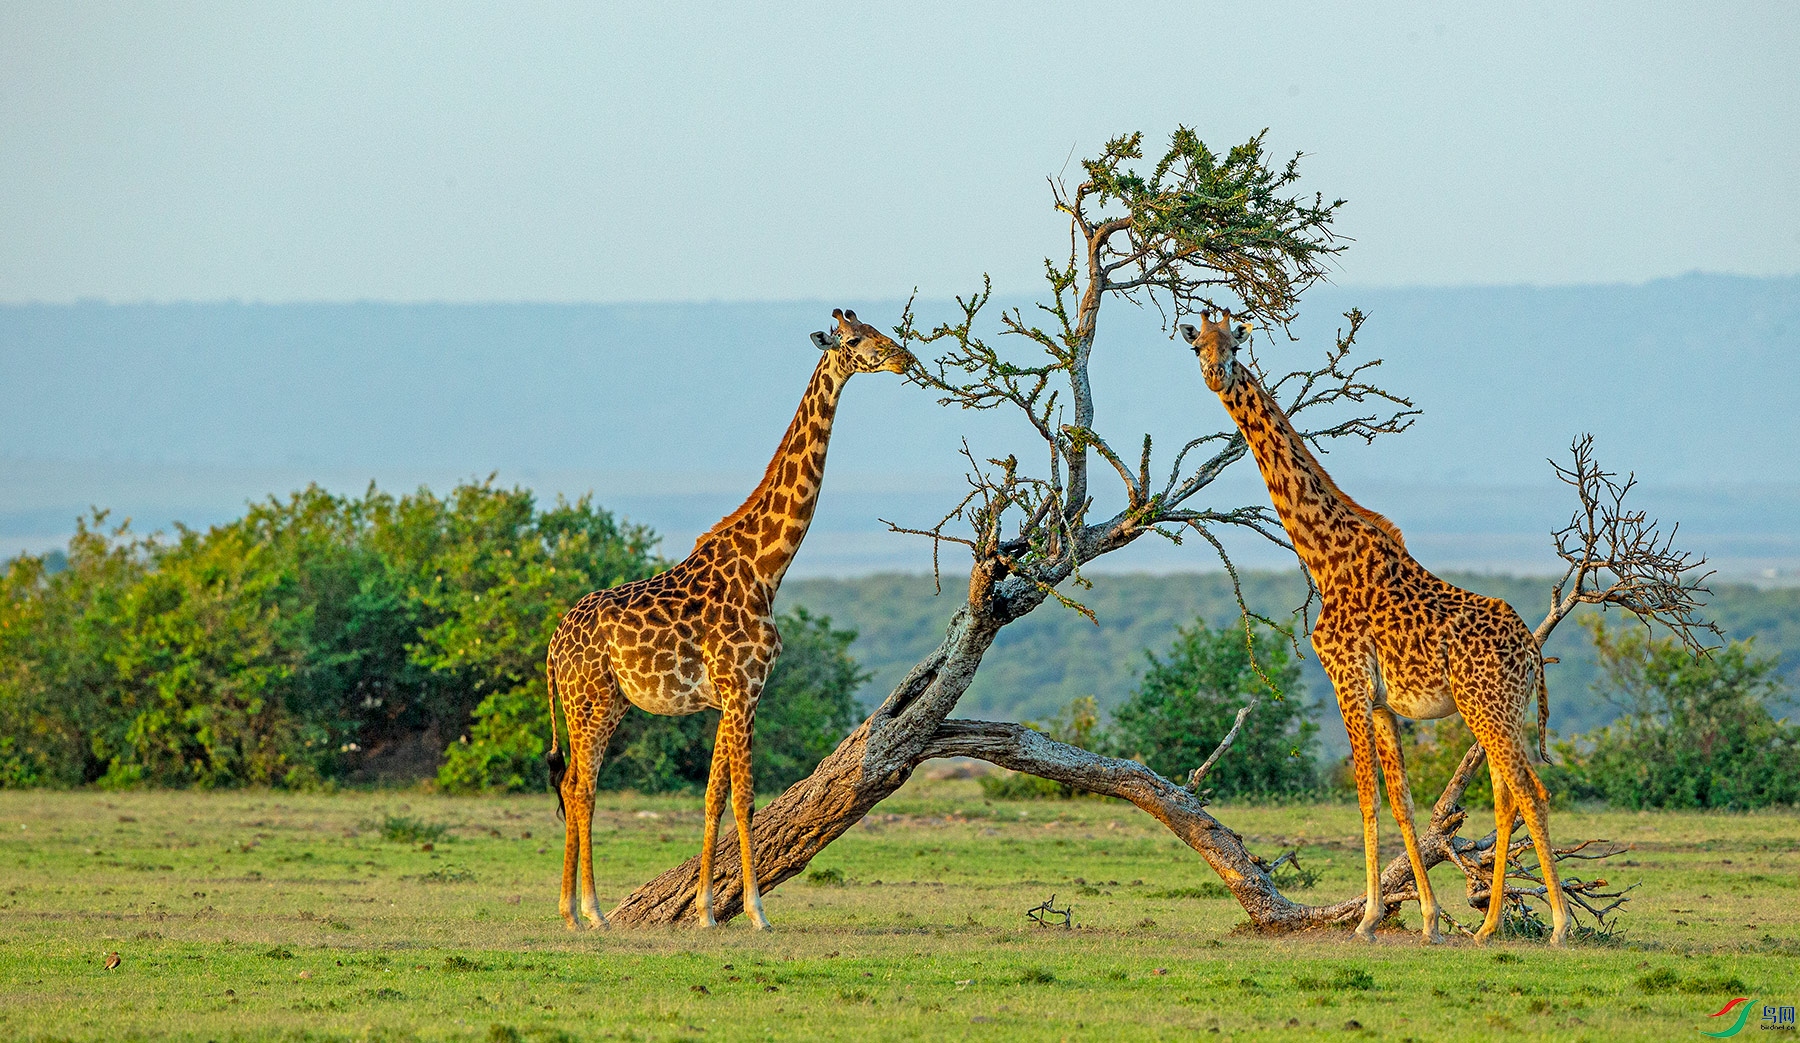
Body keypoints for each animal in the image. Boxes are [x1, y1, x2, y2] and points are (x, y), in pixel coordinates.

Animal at [540, 308, 914, 929]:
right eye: (857, 339)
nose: (905, 358)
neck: (767, 567)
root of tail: (550, 647)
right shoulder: (742, 688)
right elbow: (745, 796)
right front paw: (758, 913)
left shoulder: (732, 695)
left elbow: (714, 796)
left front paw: (706, 911)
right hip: (588, 702)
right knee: (582, 787)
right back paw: (591, 911)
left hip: (608, 703)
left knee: (571, 784)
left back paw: (571, 911)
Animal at [1180, 309, 1562, 943]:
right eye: (1197, 346)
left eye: (1235, 345)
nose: (1215, 373)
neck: (1323, 554)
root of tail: (1533, 651)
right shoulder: (1383, 700)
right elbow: (1401, 798)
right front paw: (1429, 919)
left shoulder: (1347, 680)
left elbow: (1365, 797)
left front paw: (1368, 918)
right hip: (1498, 710)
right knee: (1509, 794)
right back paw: (1487, 927)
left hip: (1486, 704)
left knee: (1531, 790)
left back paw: (1556, 925)